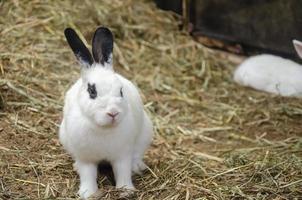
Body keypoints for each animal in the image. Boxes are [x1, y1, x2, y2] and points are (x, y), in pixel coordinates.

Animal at [59, 27, 153, 198]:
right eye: (92, 91)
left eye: (121, 91)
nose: (113, 113)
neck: (103, 129)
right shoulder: (85, 157)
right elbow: (87, 175)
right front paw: (88, 194)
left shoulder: (122, 155)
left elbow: (122, 172)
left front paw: (126, 191)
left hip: (145, 134)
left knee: (137, 155)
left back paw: (137, 167)